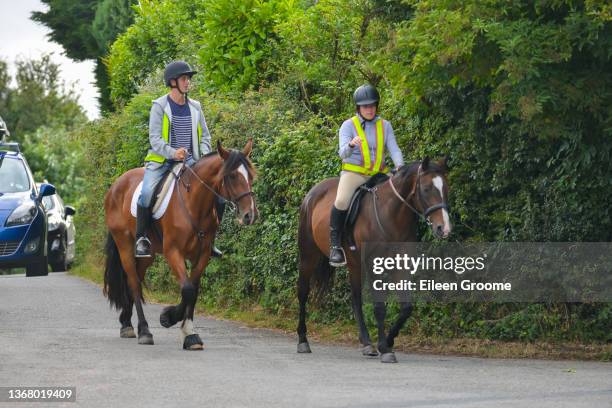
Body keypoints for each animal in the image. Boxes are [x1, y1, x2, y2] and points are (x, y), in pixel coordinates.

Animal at [104, 139, 256, 350]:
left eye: (250, 176)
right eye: (232, 176)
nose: (249, 215)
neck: (194, 205)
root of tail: (116, 185)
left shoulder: (202, 255)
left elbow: (194, 290)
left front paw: (189, 333)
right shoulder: (173, 252)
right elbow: (187, 290)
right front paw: (169, 318)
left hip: (148, 255)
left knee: (135, 281)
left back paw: (126, 324)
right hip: (124, 245)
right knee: (134, 283)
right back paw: (144, 331)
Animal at [296, 158, 450, 362]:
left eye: (446, 188)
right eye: (425, 189)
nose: (444, 228)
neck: (391, 214)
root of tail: (312, 193)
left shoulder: (400, 264)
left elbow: (406, 307)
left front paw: (388, 342)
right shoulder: (373, 265)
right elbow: (379, 307)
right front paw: (385, 348)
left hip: (354, 264)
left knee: (356, 298)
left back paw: (367, 343)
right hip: (308, 256)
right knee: (303, 293)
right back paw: (303, 340)